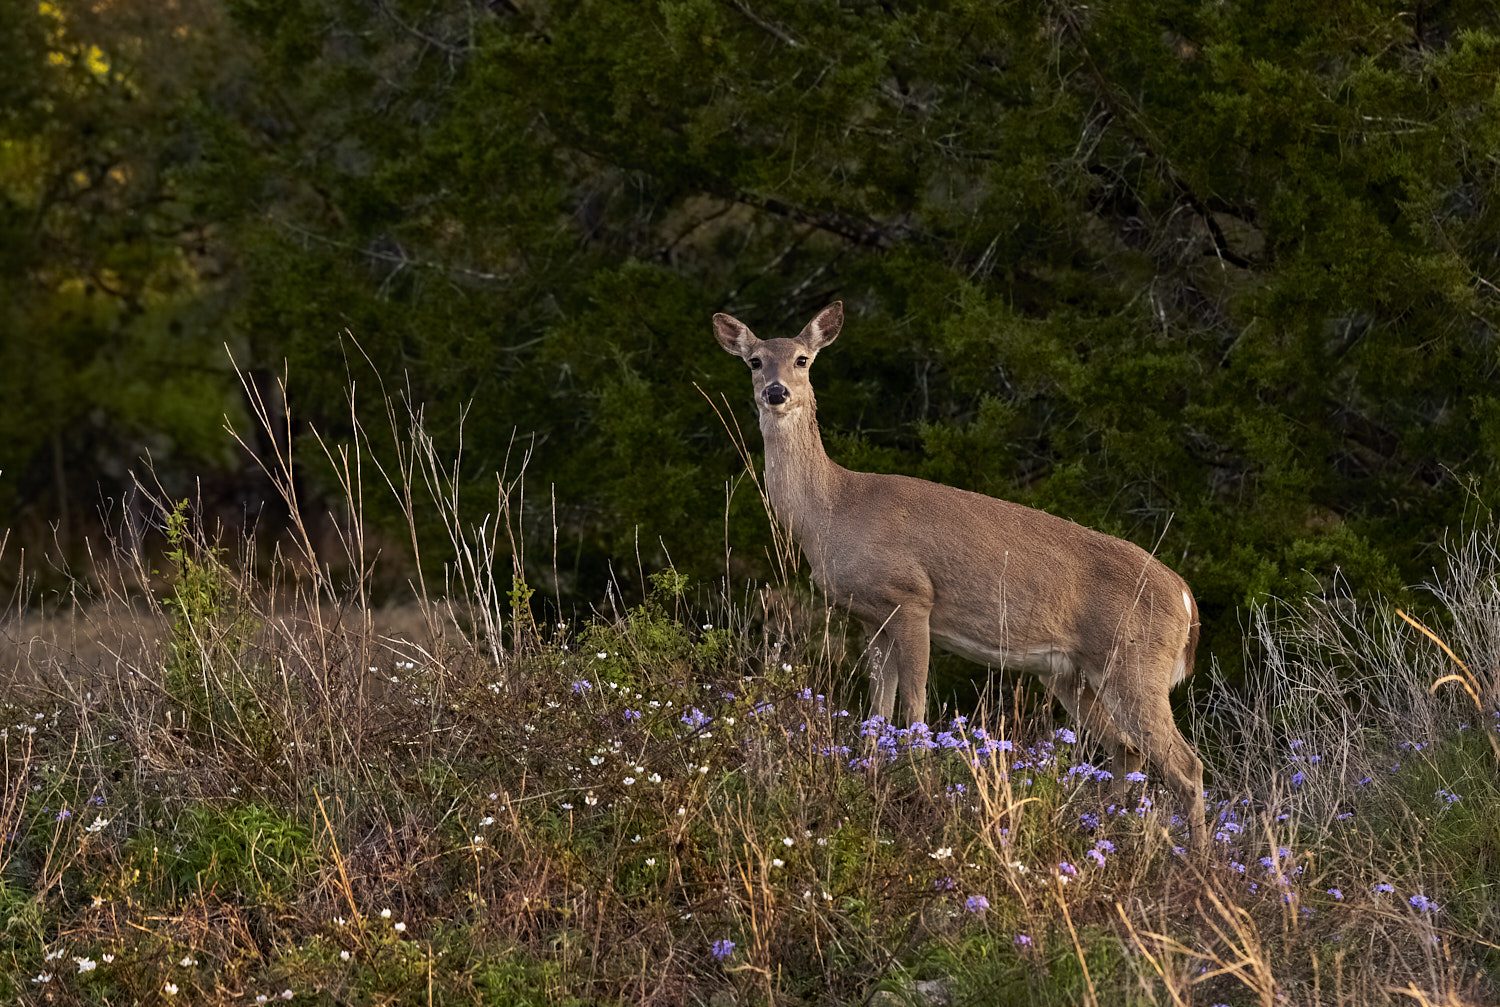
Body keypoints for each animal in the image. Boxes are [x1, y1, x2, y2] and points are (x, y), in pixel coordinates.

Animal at [711, 301, 1206, 852]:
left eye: (802, 358)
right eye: (755, 361)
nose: (776, 391)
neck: (833, 510)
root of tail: (1186, 597)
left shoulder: (912, 597)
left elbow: (915, 707)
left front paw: (919, 786)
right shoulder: (869, 617)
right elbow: (877, 710)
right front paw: (870, 776)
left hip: (1136, 664)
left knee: (1186, 766)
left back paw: (1197, 862)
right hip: (1073, 673)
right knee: (1127, 750)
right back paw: (1110, 832)